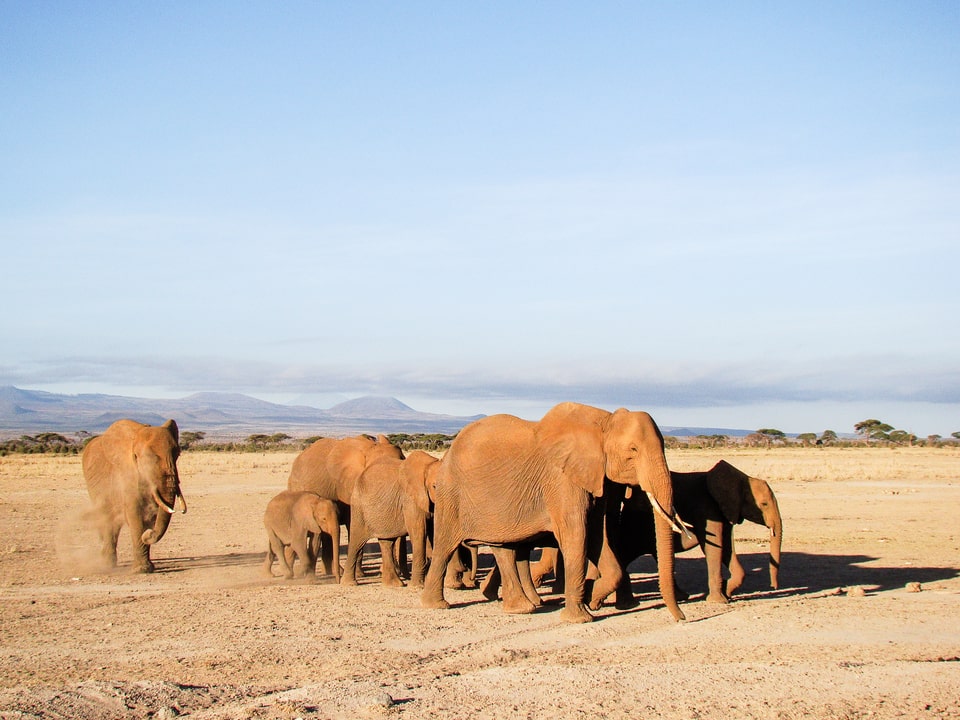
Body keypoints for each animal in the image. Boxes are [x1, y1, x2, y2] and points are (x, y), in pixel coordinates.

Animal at [83, 420, 188, 572]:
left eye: (177, 454)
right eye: (149, 458)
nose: (149, 533)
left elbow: (151, 513)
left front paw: (148, 567)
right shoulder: (126, 473)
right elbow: (135, 513)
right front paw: (142, 570)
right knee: (107, 517)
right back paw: (107, 565)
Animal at [342, 452, 438, 588]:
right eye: (434, 486)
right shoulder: (410, 499)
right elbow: (419, 532)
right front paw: (418, 586)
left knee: (386, 542)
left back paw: (394, 584)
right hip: (358, 507)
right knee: (356, 541)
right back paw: (349, 583)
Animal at [420, 402, 688, 620]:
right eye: (633, 450)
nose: (682, 618)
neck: (604, 422)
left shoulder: (594, 478)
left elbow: (597, 536)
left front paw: (592, 598)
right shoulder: (562, 480)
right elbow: (577, 535)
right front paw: (579, 618)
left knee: (503, 548)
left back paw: (522, 608)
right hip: (451, 495)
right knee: (445, 545)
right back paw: (436, 605)